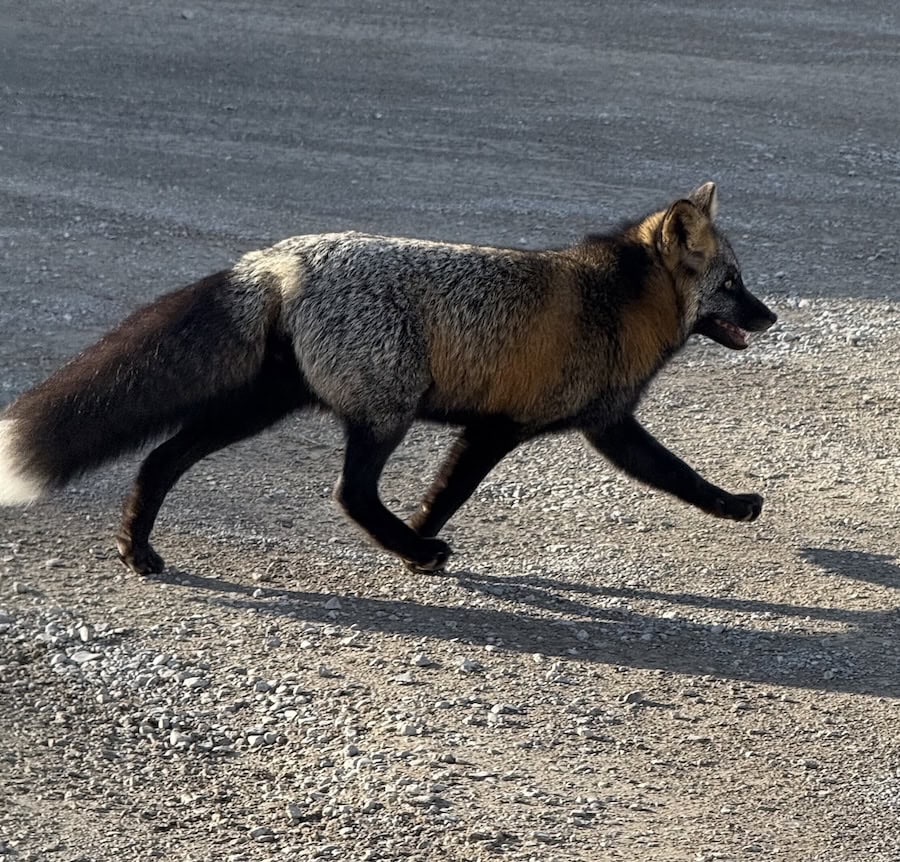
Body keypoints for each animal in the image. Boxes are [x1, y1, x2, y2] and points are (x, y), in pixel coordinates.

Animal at [0, 182, 776, 575]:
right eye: (733, 285)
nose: (771, 317)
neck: (615, 302)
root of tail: (277, 258)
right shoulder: (500, 427)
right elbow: (448, 495)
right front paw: (419, 544)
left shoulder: (606, 425)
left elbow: (679, 475)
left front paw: (733, 506)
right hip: (385, 412)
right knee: (350, 493)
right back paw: (411, 548)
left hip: (266, 406)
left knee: (160, 458)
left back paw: (136, 549)